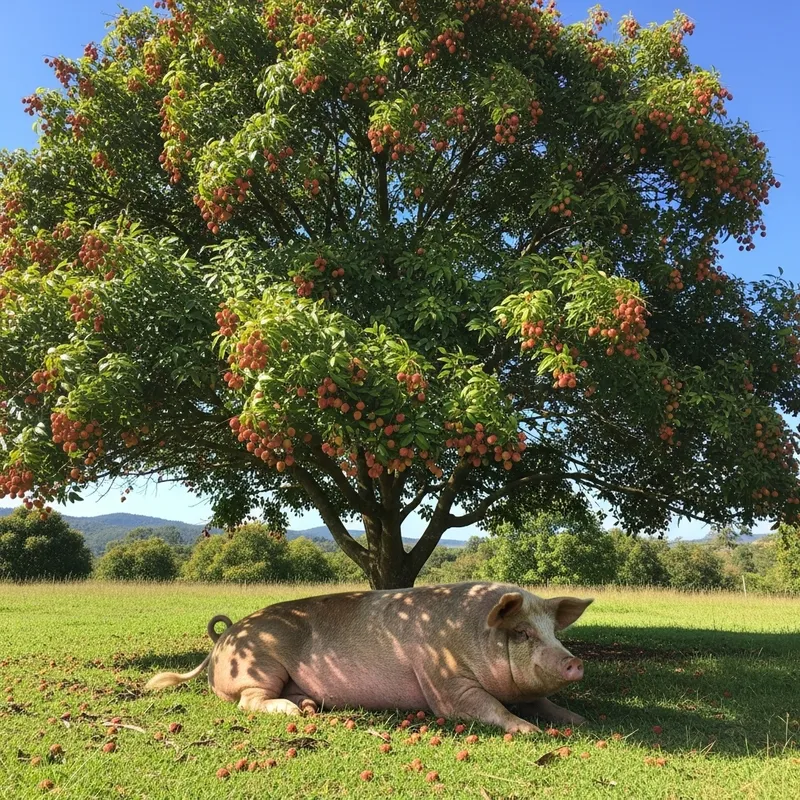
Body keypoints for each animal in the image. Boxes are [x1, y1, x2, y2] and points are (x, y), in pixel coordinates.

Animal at [145, 582, 592, 733]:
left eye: (553, 632)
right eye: (522, 633)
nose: (573, 662)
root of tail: (223, 638)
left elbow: (547, 704)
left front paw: (581, 722)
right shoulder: (444, 680)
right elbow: (486, 706)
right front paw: (529, 732)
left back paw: (308, 707)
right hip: (258, 666)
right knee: (247, 701)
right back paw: (295, 713)